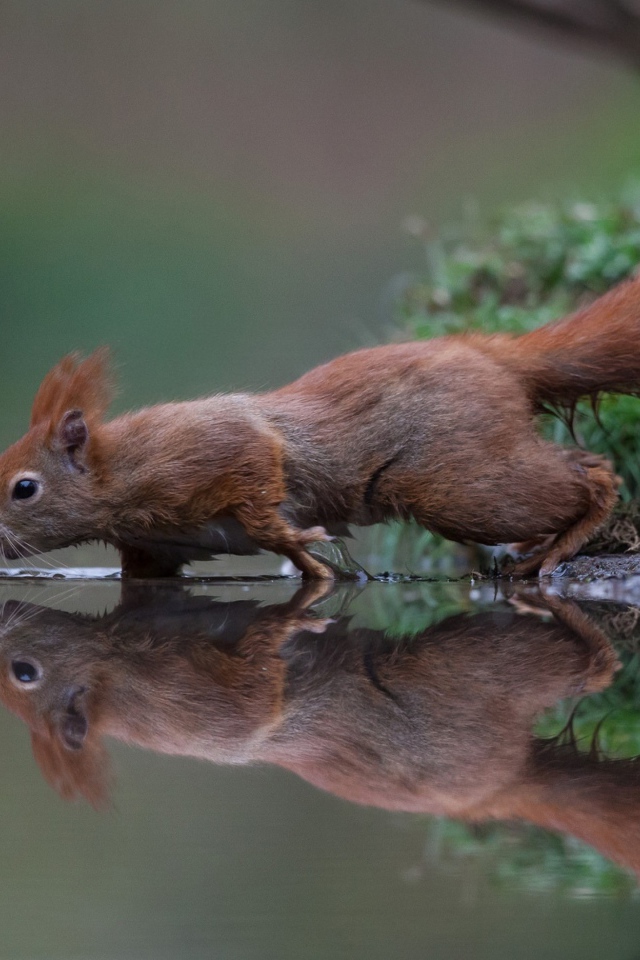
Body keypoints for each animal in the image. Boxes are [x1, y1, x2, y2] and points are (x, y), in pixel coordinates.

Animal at [1, 275, 640, 578]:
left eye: (23, 488)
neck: (121, 472)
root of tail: (489, 355)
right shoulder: (151, 549)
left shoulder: (211, 450)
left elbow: (259, 479)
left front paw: (296, 544)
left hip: (460, 484)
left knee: (593, 474)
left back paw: (562, 544)